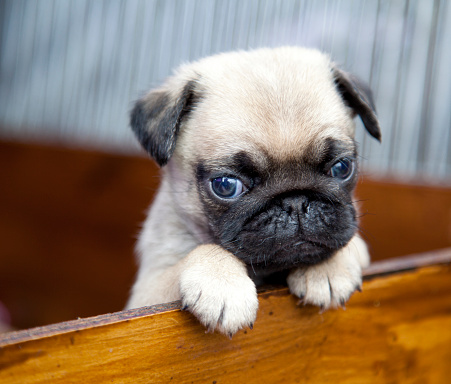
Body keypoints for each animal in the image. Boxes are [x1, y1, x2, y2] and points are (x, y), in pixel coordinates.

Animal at [126, 47, 382, 336]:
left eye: (341, 167)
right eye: (226, 185)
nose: (295, 202)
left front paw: (328, 269)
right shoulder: (146, 293)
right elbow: (206, 250)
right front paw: (222, 283)